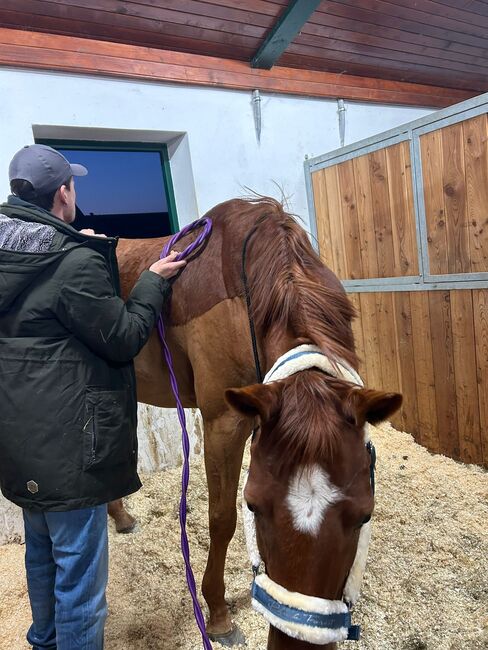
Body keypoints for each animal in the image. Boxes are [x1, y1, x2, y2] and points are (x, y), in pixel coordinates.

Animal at [113, 199, 400, 648]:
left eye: (364, 514)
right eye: (253, 504)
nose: (296, 641)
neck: (247, 295)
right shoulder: (224, 423)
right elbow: (221, 519)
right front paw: (218, 615)